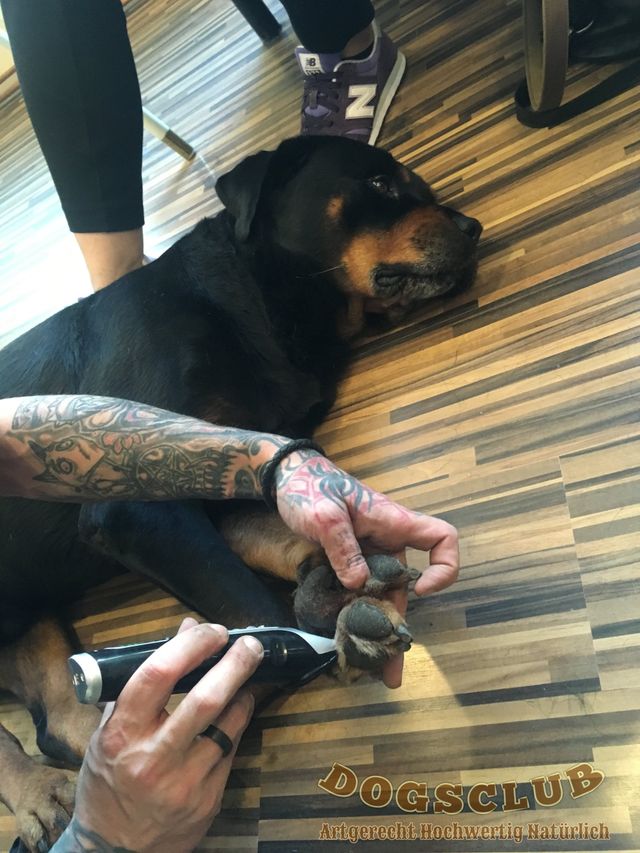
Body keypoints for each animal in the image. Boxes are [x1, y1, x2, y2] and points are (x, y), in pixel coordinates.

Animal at [0, 135, 480, 850]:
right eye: (378, 183)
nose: (473, 228)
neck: (254, 302)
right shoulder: (133, 497)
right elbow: (252, 603)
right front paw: (321, 641)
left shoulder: (215, 473)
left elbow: (277, 530)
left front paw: (331, 582)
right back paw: (42, 792)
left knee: (60, 719)